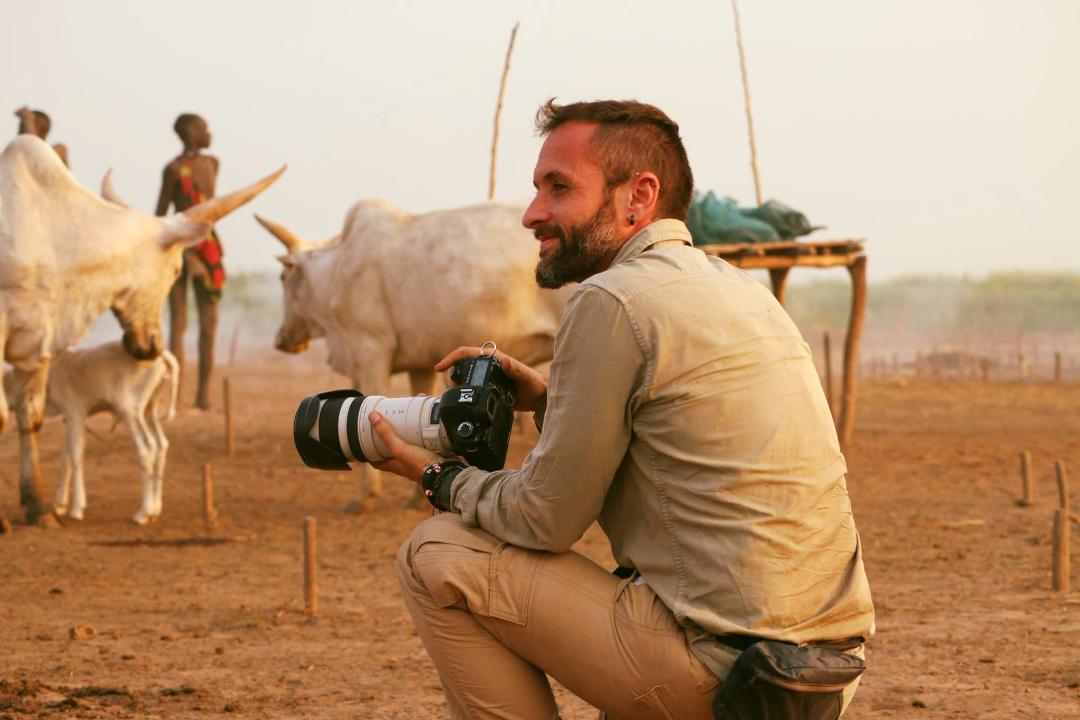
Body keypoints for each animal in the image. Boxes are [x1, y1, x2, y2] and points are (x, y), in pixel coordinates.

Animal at [5, 341, 178, 526]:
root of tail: (163, 355)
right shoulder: (70, 418)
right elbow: (65, 457)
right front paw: (60, 504)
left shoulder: (75, 413)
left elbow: (75, 455)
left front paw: (76, 509)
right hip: (149, 411)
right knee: (161, 444)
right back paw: (155, 510)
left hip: (130, 413)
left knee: (147, 447)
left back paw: (143, 513)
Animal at [258, 199, 574, 509]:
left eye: (283, 277)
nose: (281, 340)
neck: (335, 272)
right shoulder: (422, 364)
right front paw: (417, 498)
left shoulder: (370, 351)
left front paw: (363, 495)